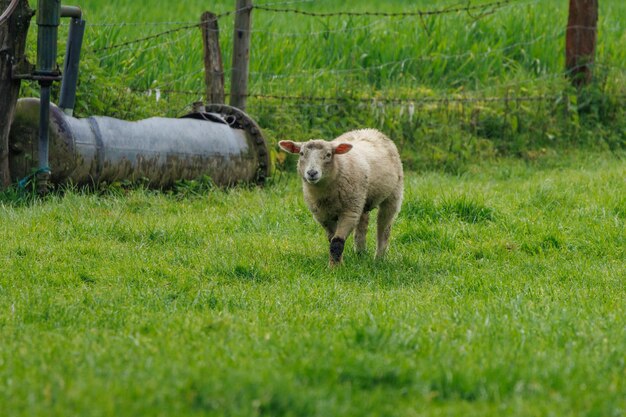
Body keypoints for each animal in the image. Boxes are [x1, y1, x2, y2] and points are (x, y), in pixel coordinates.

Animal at [276, 127, 402, 264]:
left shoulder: (349, 212)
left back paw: (379, 258)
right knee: (362, 224)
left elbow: (337, 242)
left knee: (384, 228)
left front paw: (336, 267)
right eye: (301, 153)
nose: (312, 173)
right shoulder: (323, 216)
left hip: (393, 194)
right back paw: (360, 253)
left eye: (328, 155)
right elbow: (332, 241)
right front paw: (335, 263)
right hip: (361, 199)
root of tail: (370, 130)